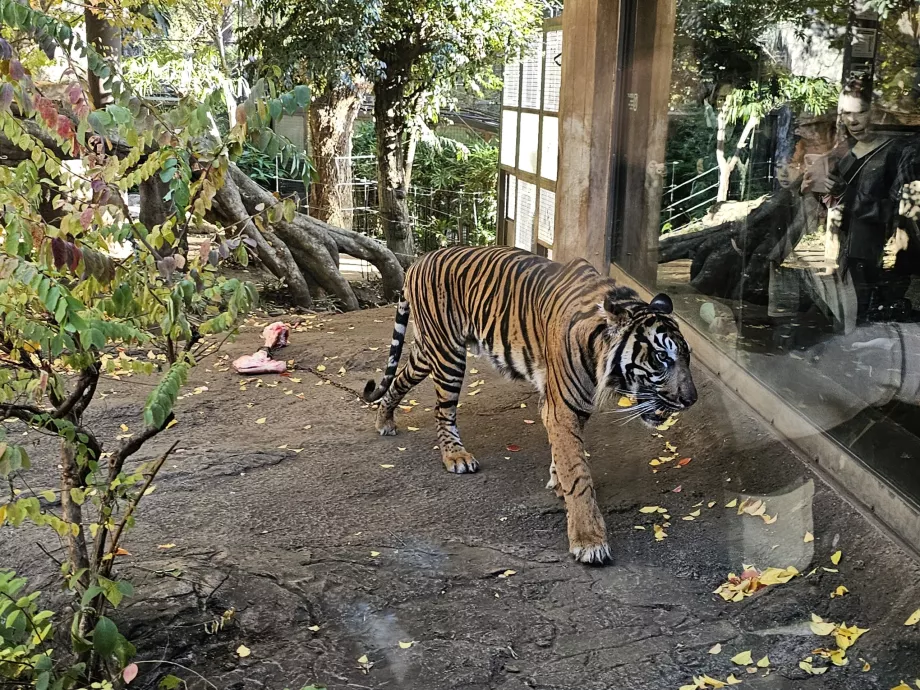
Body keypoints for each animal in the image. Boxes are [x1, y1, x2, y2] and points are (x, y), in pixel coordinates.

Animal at [363, 246, 697, 565]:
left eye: (686, 357)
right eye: (661, 358)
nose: (691, 399)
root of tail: (420, 260)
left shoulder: (569, 405)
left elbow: (563, 454)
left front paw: (557, 480)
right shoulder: (563, 406)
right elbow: (579, 473)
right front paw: (589, 540)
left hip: (428, 350)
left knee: (399, 379)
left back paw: (384, 420)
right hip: (447, 355)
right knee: (443, 411)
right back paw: (455, 456)